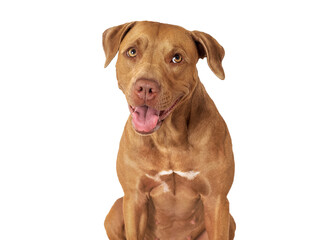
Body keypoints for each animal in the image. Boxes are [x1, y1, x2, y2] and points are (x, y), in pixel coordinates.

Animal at [102, 21, 235, 240]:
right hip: (115, 210)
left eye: (177, 58)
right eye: (132, 52)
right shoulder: (134, 198)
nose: (145, 87)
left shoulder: (216, 200)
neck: (168, 138)